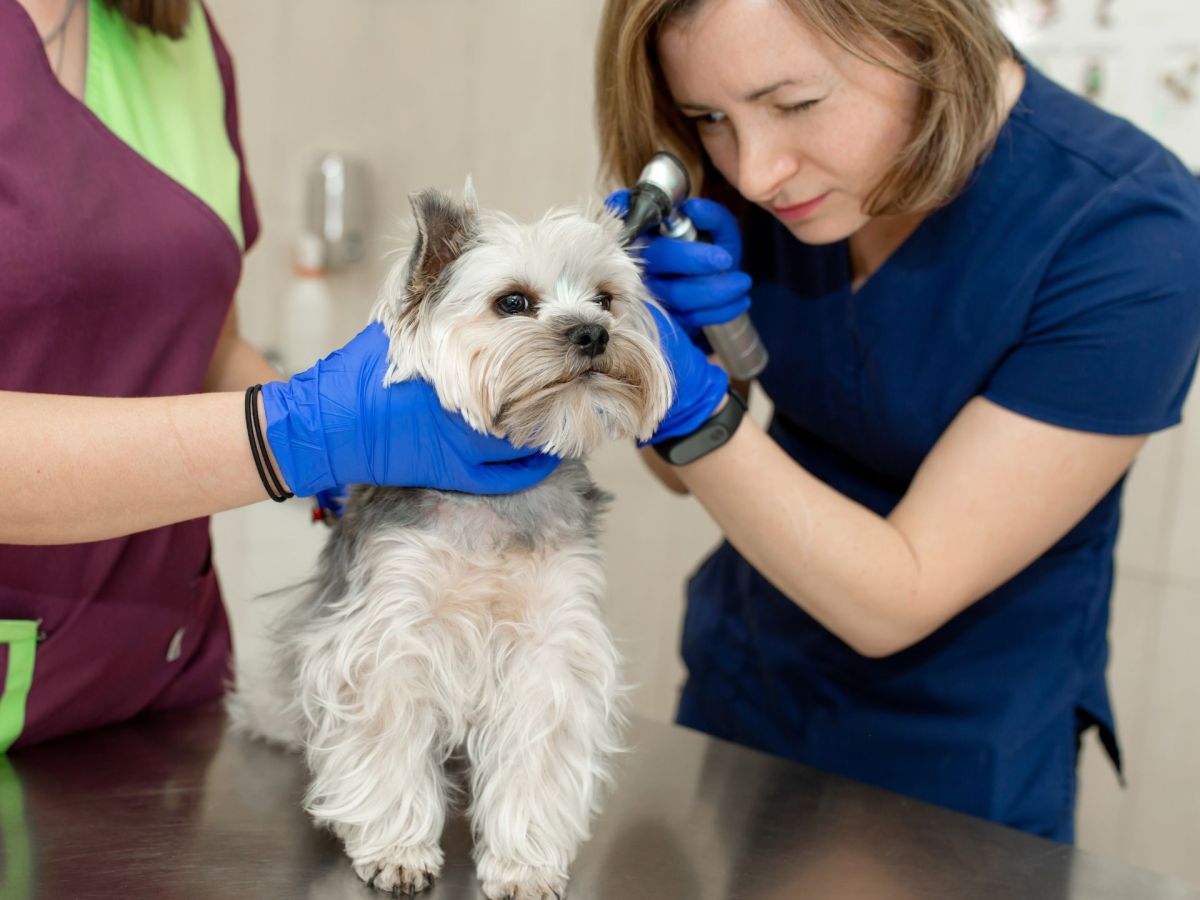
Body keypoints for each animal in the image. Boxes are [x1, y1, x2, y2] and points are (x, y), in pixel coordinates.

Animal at [226, 184, 676, 900]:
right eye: (513, 302)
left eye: (606, 299)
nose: (595, 333)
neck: (492, 496)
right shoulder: (391, 632)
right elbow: (386, 744)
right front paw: (397, 850)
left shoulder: (550, 645)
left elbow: (535, 759)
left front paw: (524, 864)